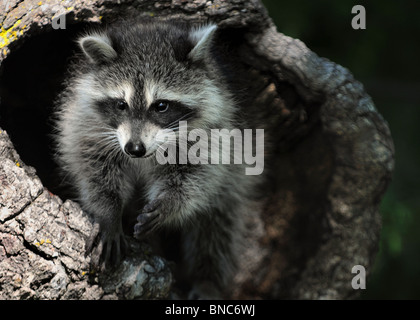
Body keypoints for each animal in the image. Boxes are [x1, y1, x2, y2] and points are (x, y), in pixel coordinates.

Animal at [55, 19, 260, 300]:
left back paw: (207, 278)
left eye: (161, 106)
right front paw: (108, 210)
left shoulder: (219, 128)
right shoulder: (84, 121)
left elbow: (197, 176)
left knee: (217, 225)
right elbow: (92, 166)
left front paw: (169, 203)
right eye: (121, 105)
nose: (134, 148)